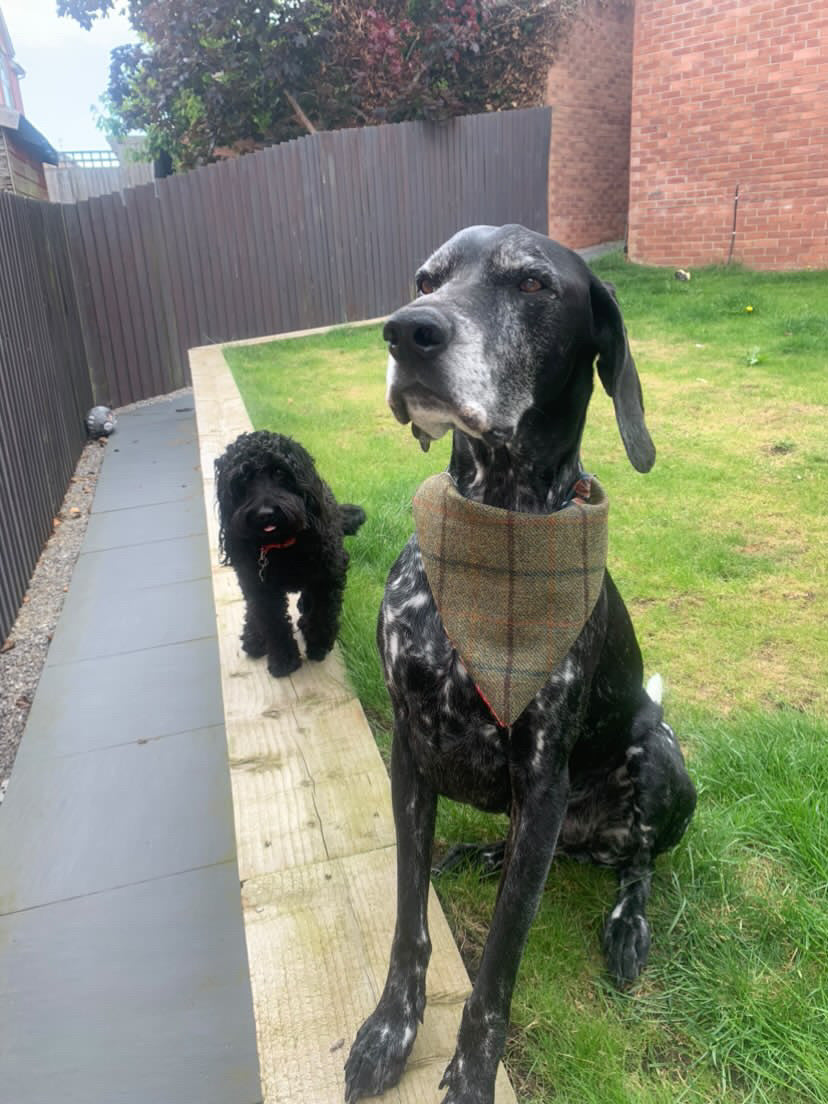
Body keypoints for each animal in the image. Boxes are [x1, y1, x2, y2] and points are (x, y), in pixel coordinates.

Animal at [217, 428, 366, 671]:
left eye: (279, 471)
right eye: (242, 478)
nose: (265, 514)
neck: (283, 547)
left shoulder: (329, 575)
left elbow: (323, 614)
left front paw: (318, 645)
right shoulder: (260, 587)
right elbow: (273, 623)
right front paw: (284, 661)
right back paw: (253, 637)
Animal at [344, 226, 702, 1104]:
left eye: (534, 283)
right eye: (426, 280)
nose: (407, 332)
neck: (497, 521)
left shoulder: (542, 784)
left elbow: (498, 969)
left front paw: (473, 1075)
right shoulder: (410, 752)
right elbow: (408, 922)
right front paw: (391, 1030)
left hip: (659, 761)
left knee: (639, 863)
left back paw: (627, 925)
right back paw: (482, 855)